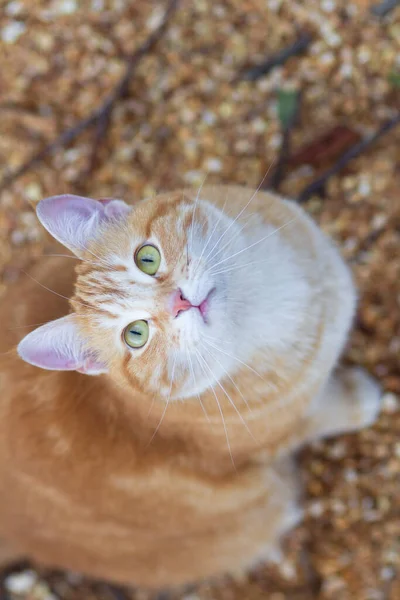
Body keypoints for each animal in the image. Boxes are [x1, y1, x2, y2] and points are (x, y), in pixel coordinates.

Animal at [0, 185, 382, 588]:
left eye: (147, 258)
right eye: (136, 334)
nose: (179, 302)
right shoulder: (283, 431)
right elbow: (327, 414)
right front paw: (363, 399)